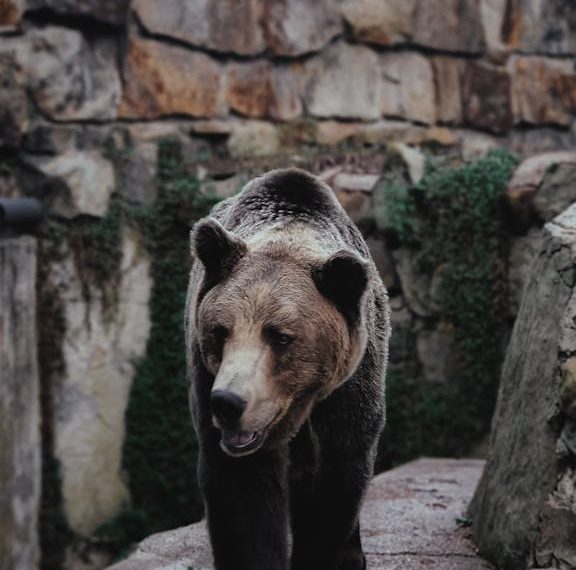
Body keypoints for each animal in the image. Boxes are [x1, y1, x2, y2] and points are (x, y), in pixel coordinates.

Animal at [184, 168, 392, 568]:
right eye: (220, 331)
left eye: (280, 336)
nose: (228, 402)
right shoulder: (208, 381)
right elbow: (243, 497)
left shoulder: (347, 394)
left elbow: (333, 490)